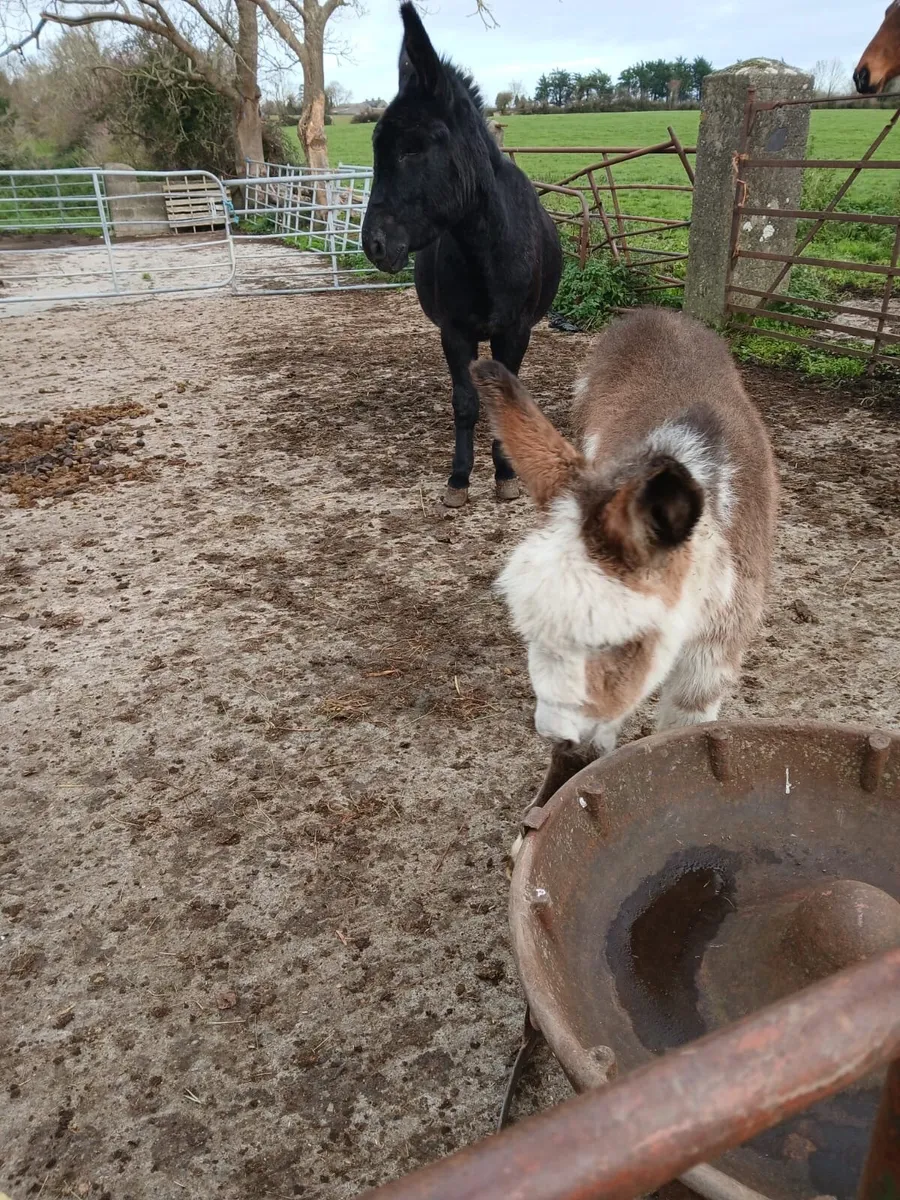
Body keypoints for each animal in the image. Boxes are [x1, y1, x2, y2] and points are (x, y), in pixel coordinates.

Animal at [361, 3, 563, 508]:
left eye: (413, 147)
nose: (373, 245)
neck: (487, 248)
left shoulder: (515, 331)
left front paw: (505, 475)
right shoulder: (454, 333)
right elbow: (465, 403)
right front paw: (459, 479)